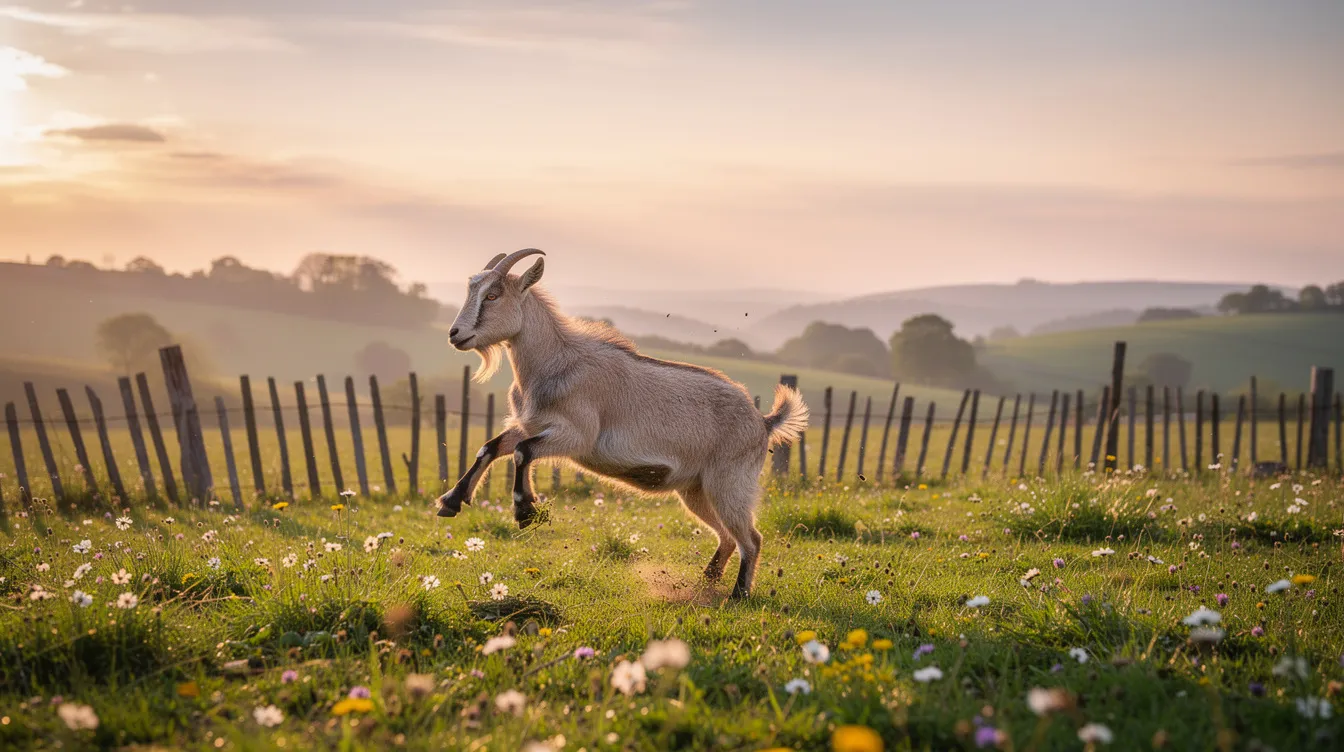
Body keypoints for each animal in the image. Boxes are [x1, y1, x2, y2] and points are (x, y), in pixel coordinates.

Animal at [435, 249, 808, 599]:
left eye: (493, 295)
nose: (455, 334)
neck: (554, 363)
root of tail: (764, 421)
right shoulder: (531, 425)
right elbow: (491, 447)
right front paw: (451, 502)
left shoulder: (576, 436)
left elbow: (523, 452)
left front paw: (525, 510)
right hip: (696, 490)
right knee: (728, 536)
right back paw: (706, 582)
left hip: (728, 483)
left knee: (752, 538)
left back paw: (737, 594)